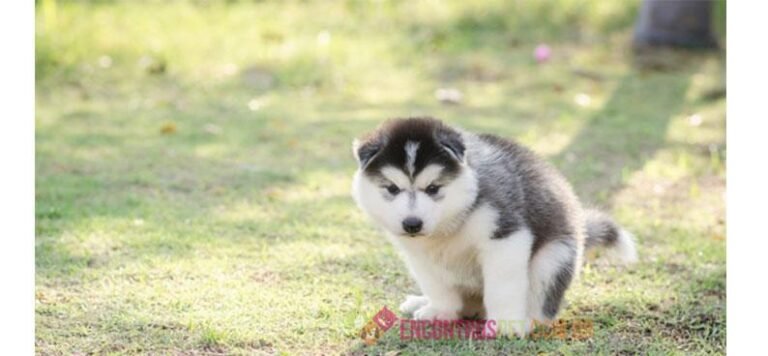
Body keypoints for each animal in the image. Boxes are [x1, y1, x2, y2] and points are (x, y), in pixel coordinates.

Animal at [350, 117, 636, 336]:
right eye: (392, 189)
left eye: (433, 188)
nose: (412, 224)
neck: (449, 223)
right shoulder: (419, 255)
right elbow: (436, 286)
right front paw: (440, 311)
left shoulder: (506, 237)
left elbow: (503, 287)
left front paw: (506, 325)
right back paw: (423, 302)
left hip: (554, 258)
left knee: (542, 306)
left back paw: (529, 321)